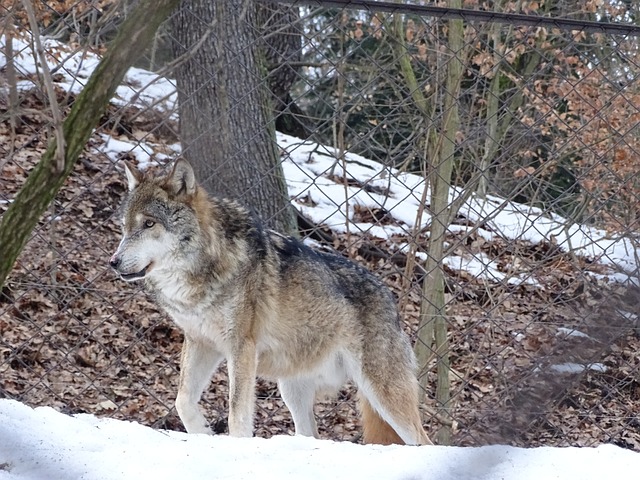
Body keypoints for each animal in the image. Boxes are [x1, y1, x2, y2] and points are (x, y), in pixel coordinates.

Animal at [110, 158, 432, 446]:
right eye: (125, 227)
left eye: (149, 224)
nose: (113, 262)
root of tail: (391, 299)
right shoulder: (200, 342)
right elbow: (182, 401)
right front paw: (204, 433)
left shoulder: (241, 346)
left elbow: (237, 413)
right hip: (292, 388)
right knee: (311, 435)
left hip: (382, 393)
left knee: (424, 440)